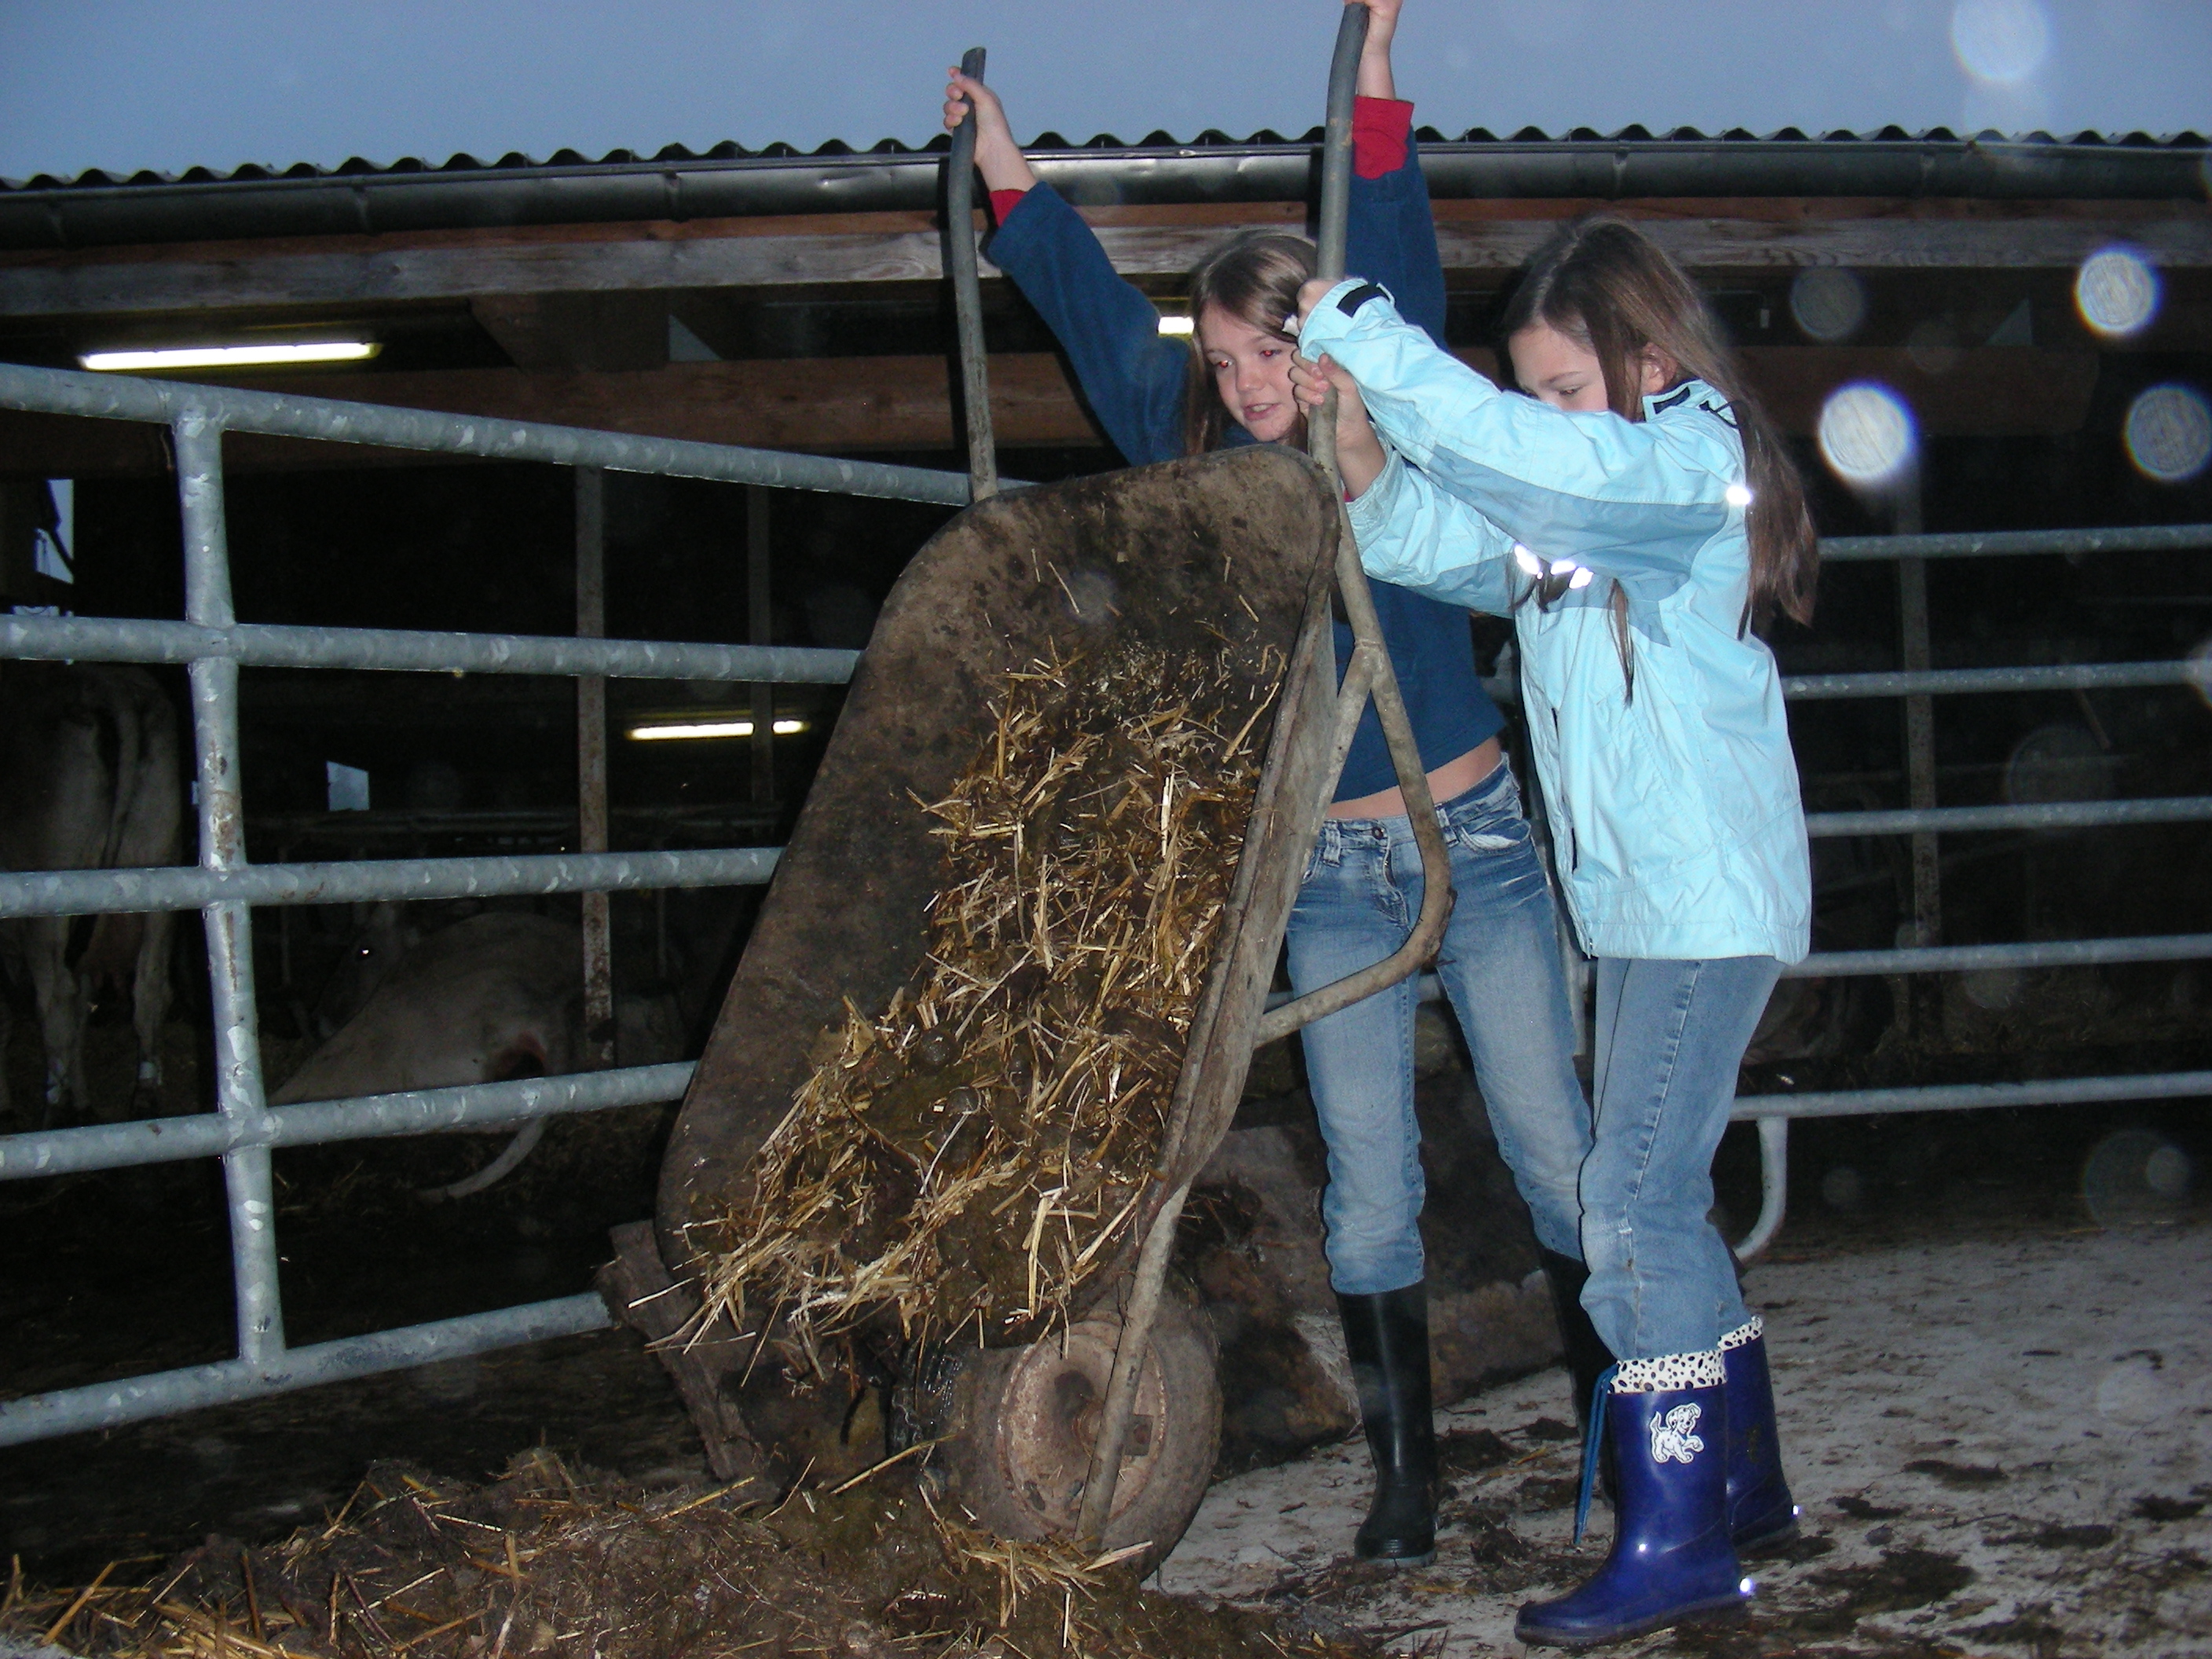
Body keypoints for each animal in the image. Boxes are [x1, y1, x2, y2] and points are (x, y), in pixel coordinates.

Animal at [0, 663, 185, 1132]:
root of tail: (108, 684)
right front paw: (85, 1100)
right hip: (158, 874)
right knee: (150, 988)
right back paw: (144, 1097)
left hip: (47, 898)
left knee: (55, 998)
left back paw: (55, 1108)